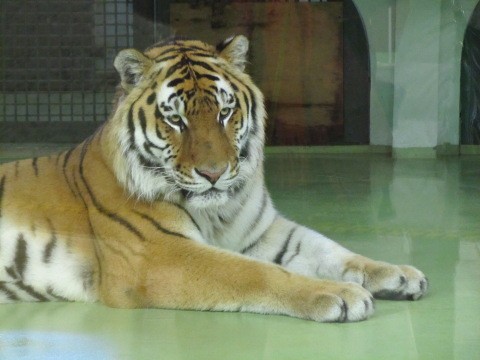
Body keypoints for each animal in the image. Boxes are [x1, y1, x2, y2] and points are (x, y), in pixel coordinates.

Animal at [0, 35, 428, 324]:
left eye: (224, 112)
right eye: (176, 119)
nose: (213, 173)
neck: (218, 212)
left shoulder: (266, 231)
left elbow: (332, 250)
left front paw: (399, 274)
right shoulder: (158, 253)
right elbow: (252, 272)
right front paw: (340, 294)